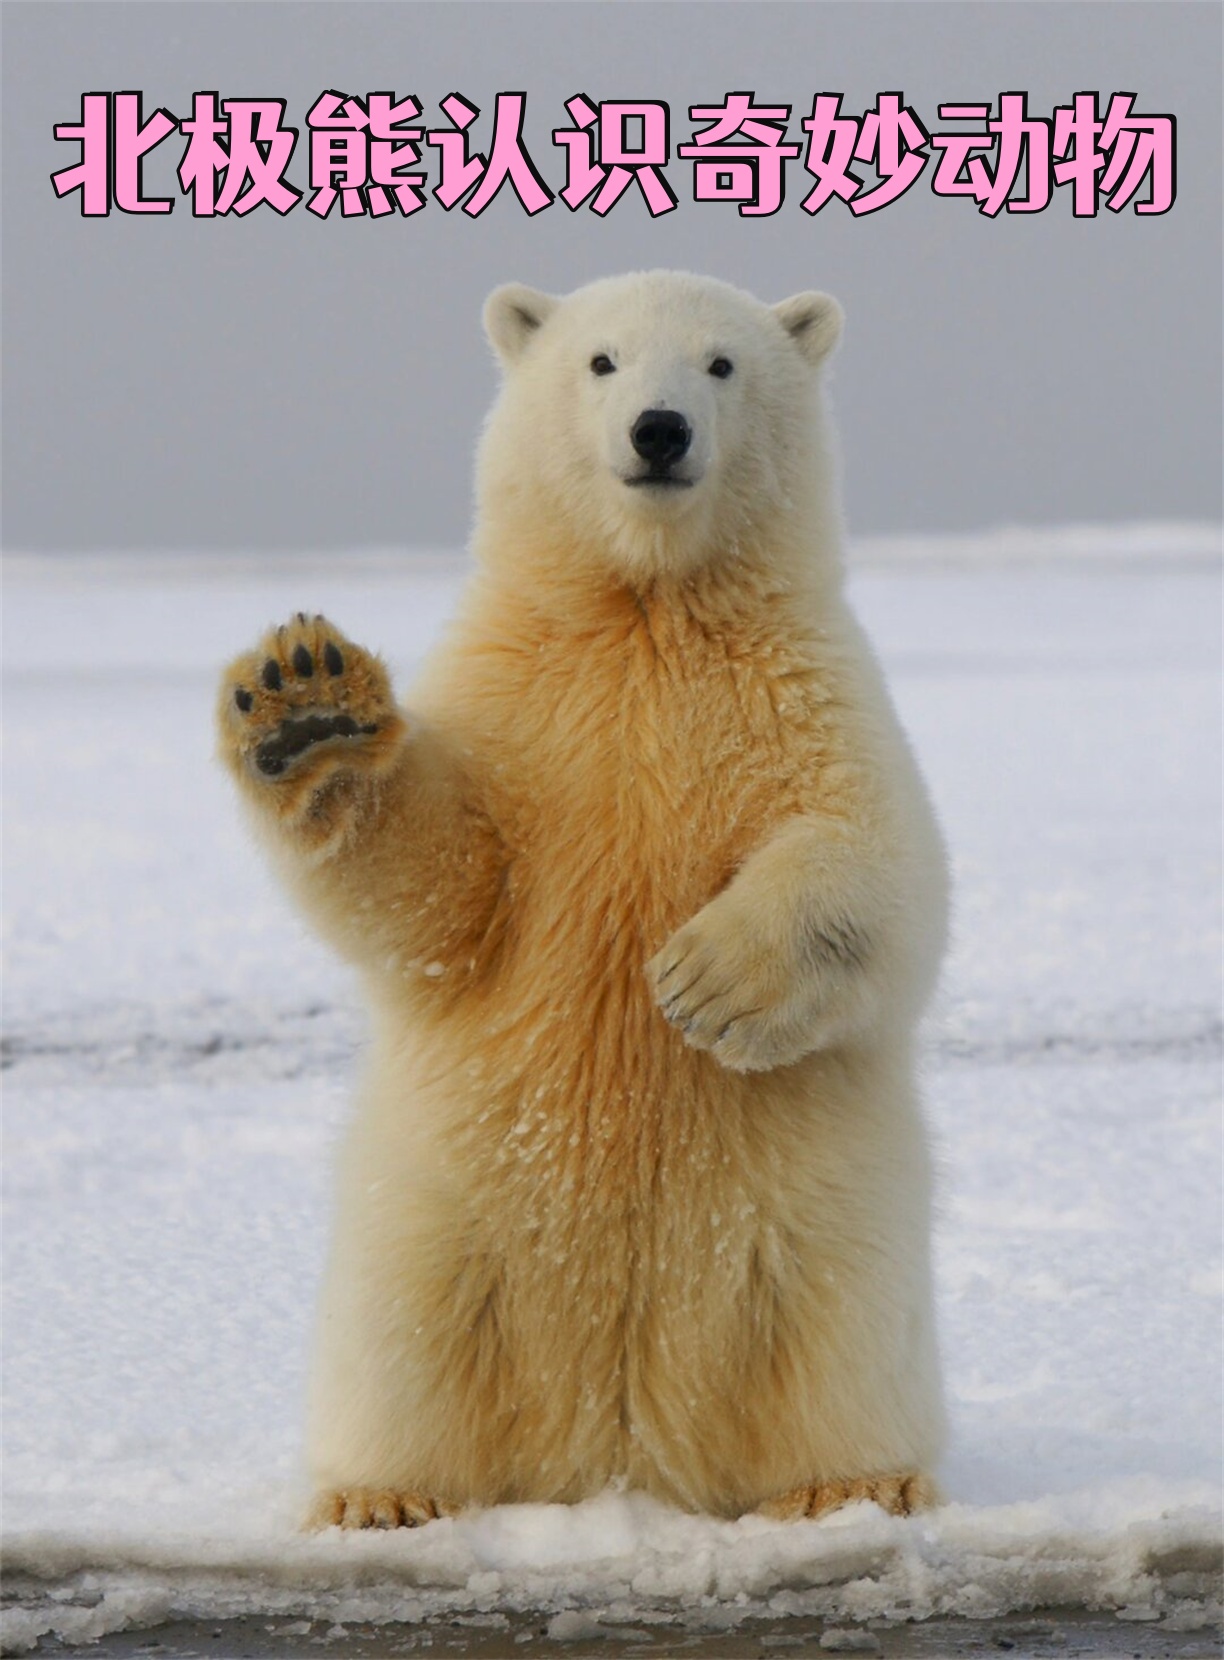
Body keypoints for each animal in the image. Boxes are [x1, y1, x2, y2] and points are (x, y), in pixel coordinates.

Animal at [217, 265, 943, 1520]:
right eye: (601, 361)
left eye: (721, 363)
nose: (659, 430)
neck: (645, 608)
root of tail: (618, 1450)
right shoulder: (522, 705)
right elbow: (443, 889)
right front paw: (306, 703)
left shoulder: (806, 690)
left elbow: (881, 864)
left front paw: (705, 981)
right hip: (438, 1214)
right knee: (404, 1338)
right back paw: (380, 1495)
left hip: (821, 1218)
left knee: (840, 1334)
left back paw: (855, 1484)